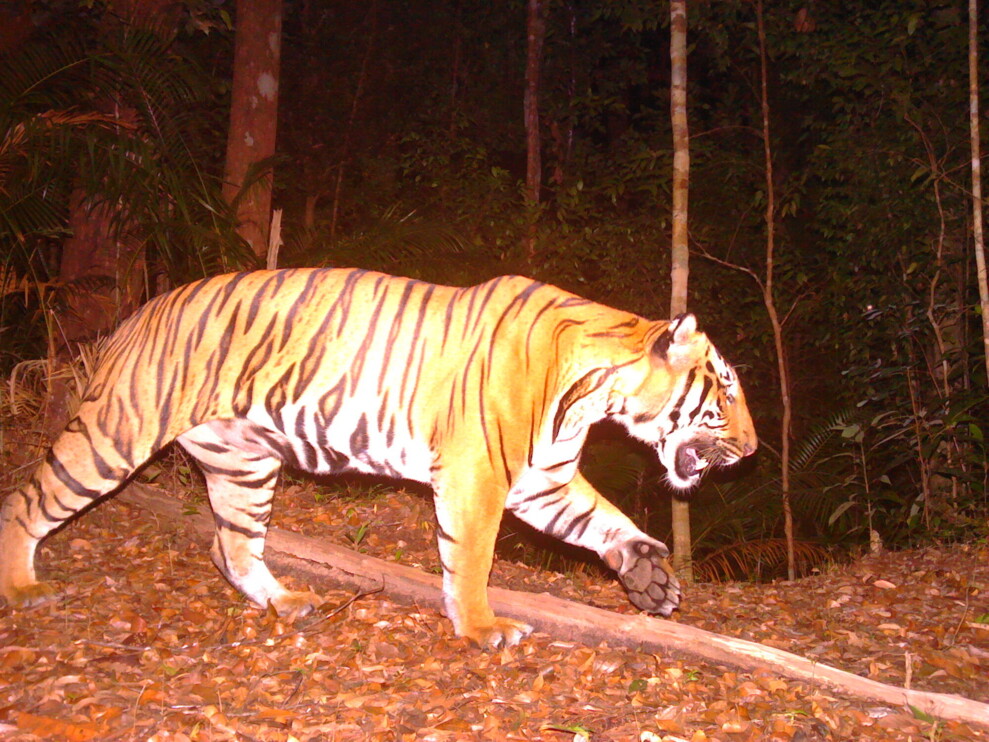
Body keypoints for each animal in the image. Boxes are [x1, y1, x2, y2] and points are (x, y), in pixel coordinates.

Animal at [0, 268, 756, 647]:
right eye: (724, 390)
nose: (751, 450)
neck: (594, 394)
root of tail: (138, 313)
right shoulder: (478, 477)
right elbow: (471, 559)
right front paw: (482, 628)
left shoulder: (542, 479)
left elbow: (601, 520)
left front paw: (648, 577)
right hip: (113, 437)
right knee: (26, 501)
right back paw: (23, 588)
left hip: (245, 464)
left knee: (230, 547)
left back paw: (287, 603)